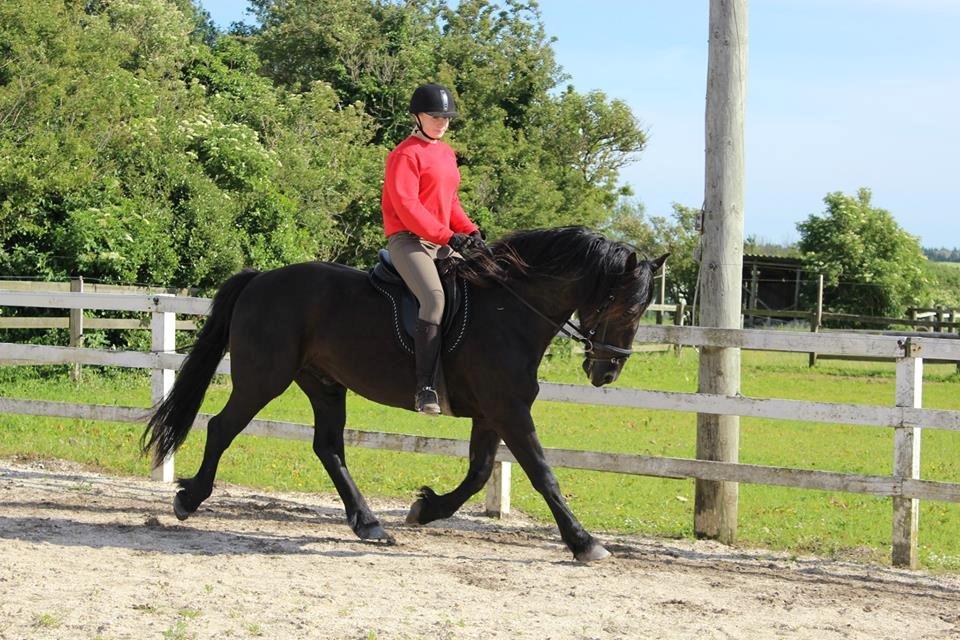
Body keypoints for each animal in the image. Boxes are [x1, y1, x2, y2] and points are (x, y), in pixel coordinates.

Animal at [142, 225, 668, 560]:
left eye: (643, 311)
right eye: (620, 305)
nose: (607, 372)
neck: (510, 309)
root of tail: (260, 280)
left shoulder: (492, 413)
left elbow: (479, 473)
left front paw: (426, 508)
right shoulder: (509, 409)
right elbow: (544, 475)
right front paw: (584, 542)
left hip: (324, 384)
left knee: (328, 448)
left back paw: (368, 523)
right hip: (263, 379)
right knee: (222, 428)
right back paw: (189, 499)